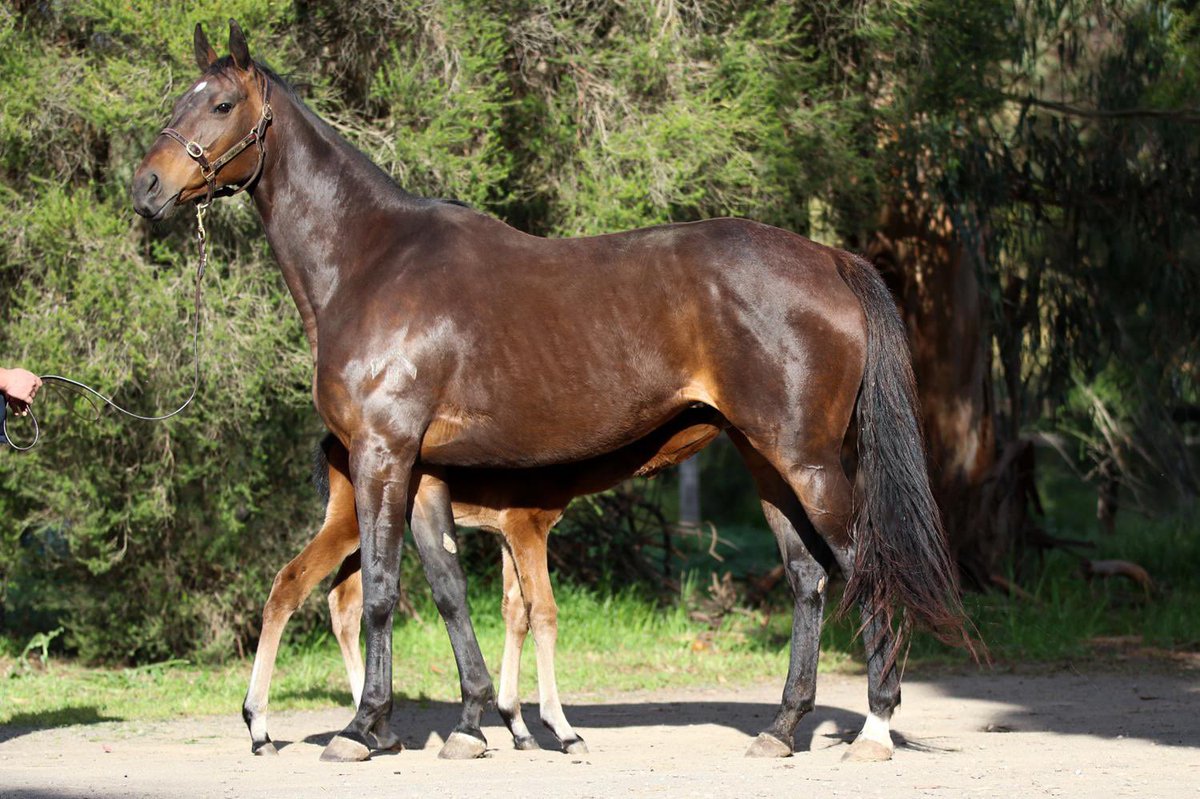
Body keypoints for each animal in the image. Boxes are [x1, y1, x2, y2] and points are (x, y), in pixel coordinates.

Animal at [245, 408, 723, 756]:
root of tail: (331, 441)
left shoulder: (506, 533)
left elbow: (515, 612)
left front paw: (518, 727)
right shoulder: (528, 526)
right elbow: (543, 612)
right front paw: (563, 730)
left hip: (362, 529)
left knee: (342, 600)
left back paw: (379, 732)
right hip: (347, 520)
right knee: (289, 582)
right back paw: (261, 729)